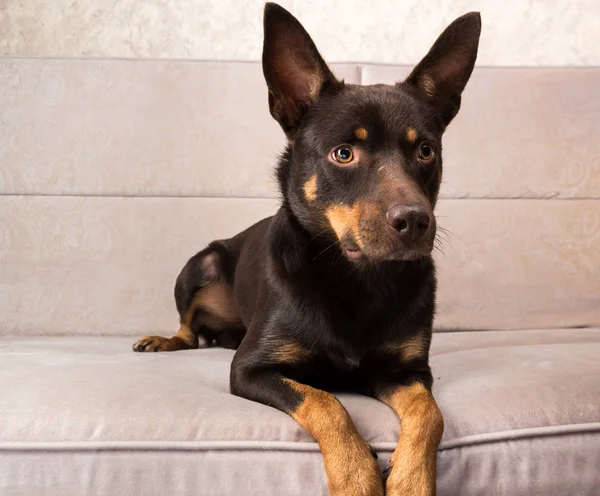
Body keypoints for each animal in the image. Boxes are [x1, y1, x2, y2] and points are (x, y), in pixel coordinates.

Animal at [134, 2, 480, 492]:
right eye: (343, 153)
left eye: (426, 151)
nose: (415, 221)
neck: (358, 280)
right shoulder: (250, 369)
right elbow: (324, 402)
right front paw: (356, 475)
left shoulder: (407, 372)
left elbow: (430, 414)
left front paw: (411, 478)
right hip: (199, 264)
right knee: (188, 328)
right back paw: (165, 340)